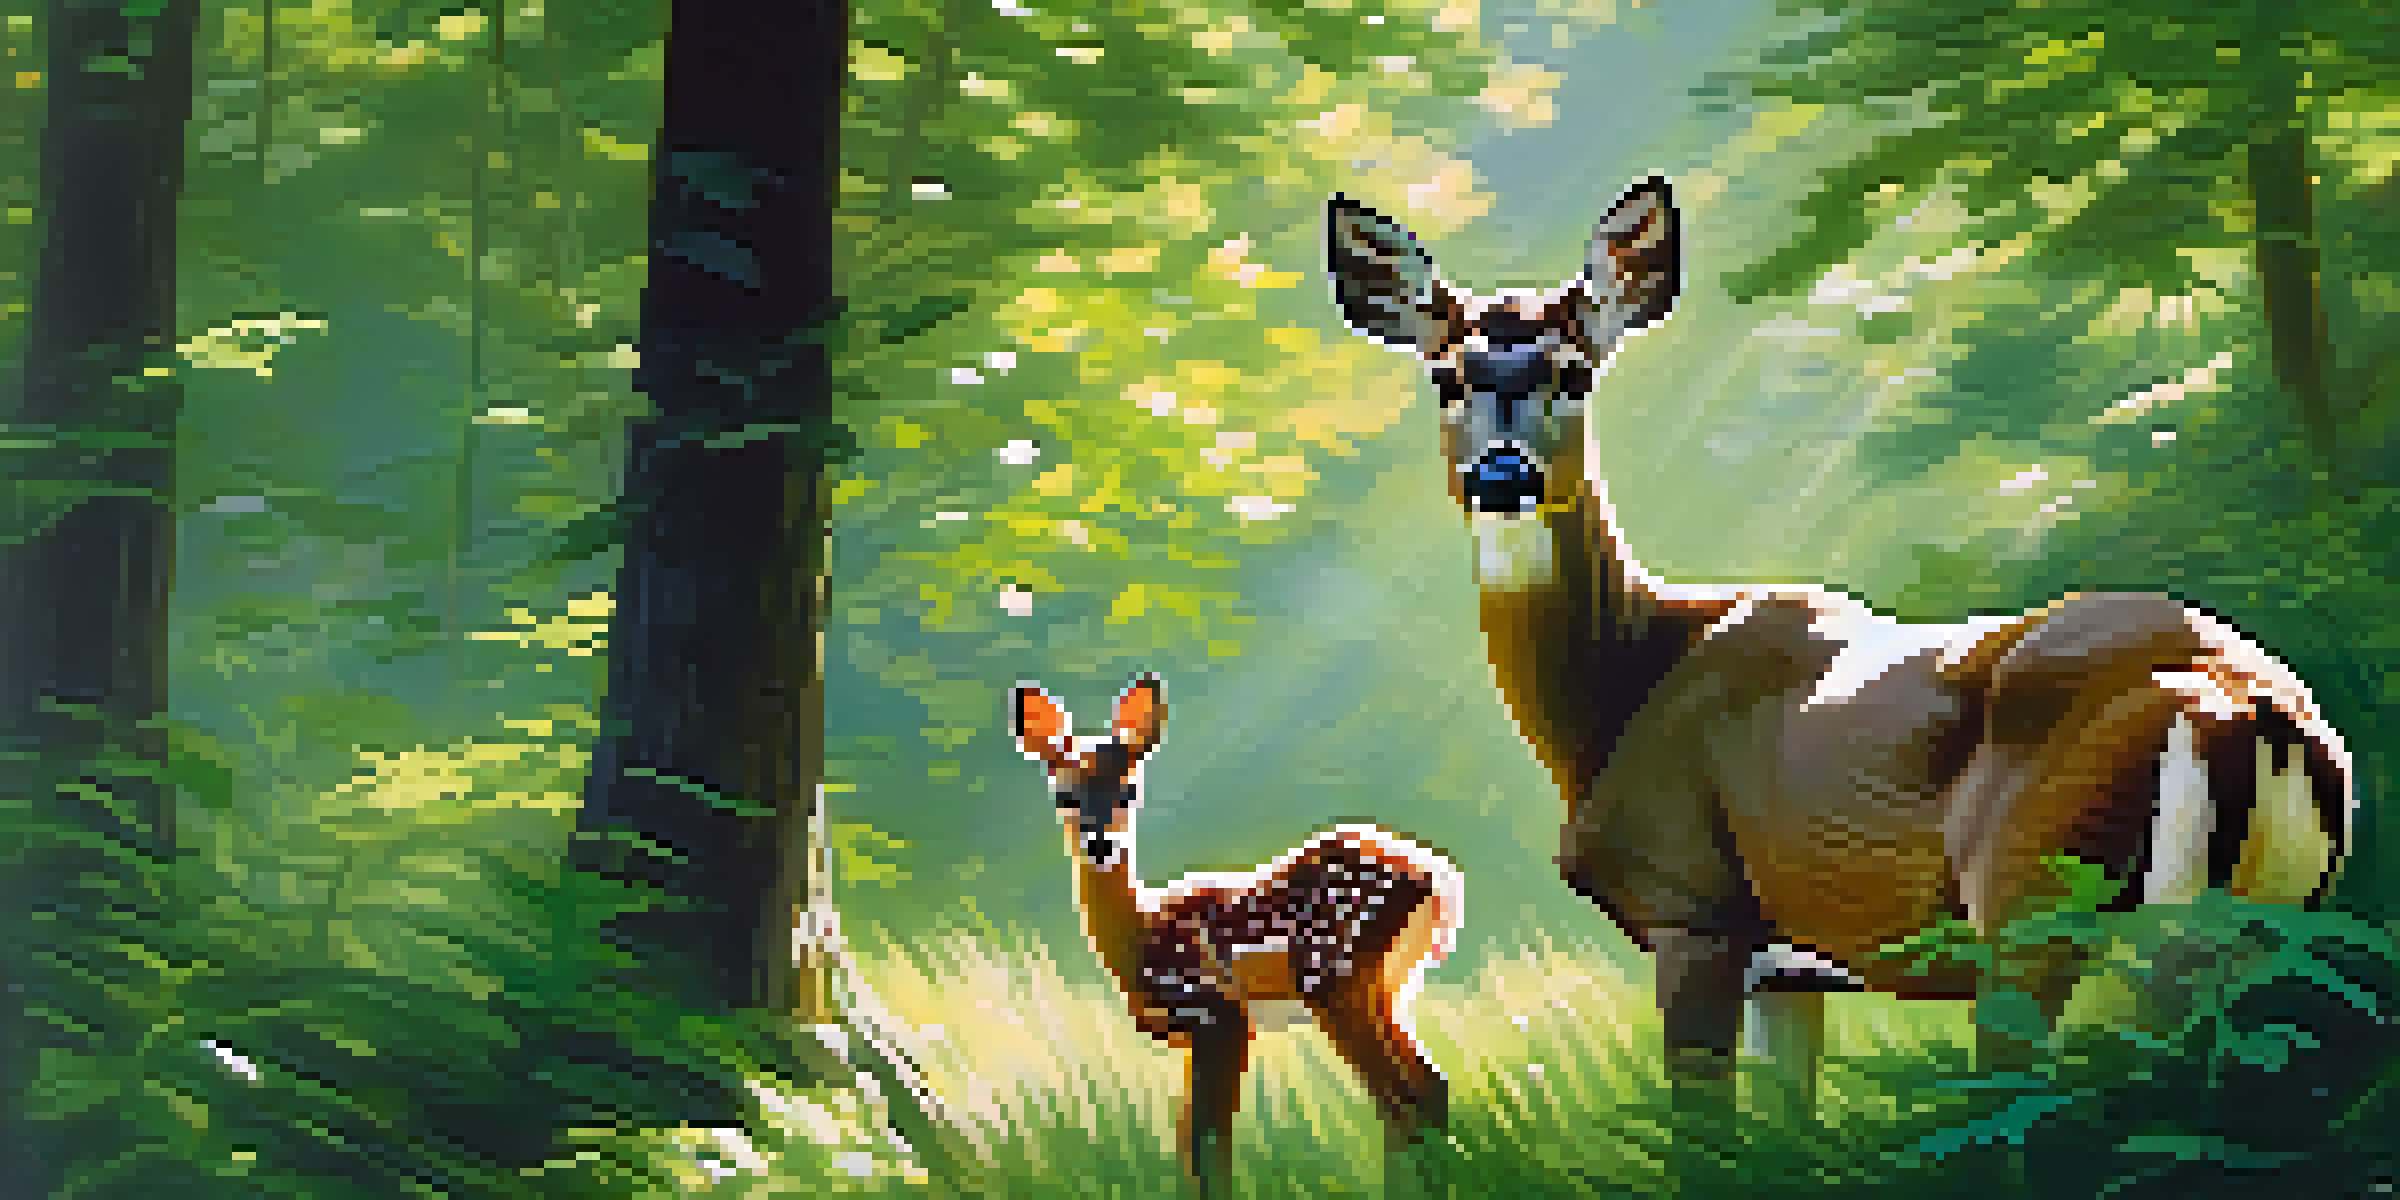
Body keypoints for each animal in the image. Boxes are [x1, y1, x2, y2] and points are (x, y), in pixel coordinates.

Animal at [1011, 674, 1465, 1196]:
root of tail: (1439, 882)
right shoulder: (1197, 1035)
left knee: (1401, 1099)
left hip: (1332, 977)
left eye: (1128, 792)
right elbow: (1191, 1140)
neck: (1141, 939)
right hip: (1384, 985)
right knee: (1424, 1090)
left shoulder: (1218, 1013)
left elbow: (1209, 1143)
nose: (1099, 843)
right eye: (1065, 796)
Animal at [1324, 174, 2354, 1129]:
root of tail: (2257, 709)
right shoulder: (1790, 972)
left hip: (2037, 907)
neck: (1621, 693)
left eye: (1574, 372)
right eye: (1445, 376)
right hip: (2274, 924)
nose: (1501, 476)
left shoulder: (1693, 911)